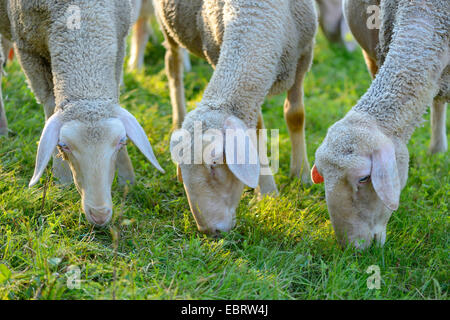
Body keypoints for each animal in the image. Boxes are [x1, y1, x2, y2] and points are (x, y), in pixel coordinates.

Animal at [0, 0, 165, 225]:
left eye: (122, 142)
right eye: (63, 146)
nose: (99, 215)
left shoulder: (119, 40)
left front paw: (127, 179)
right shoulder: (27, 48)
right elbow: (50, 105)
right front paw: (61, 179)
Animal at [156, 0, 318, 235]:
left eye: (215, 161)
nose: (209, 231)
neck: (255, 15)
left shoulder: (303, 56)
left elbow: (295, 115)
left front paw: (301, 175)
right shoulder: (218, 54)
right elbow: (257, 131)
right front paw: (267, 194)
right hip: (167, 25)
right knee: (173, 65)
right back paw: (178, 114)